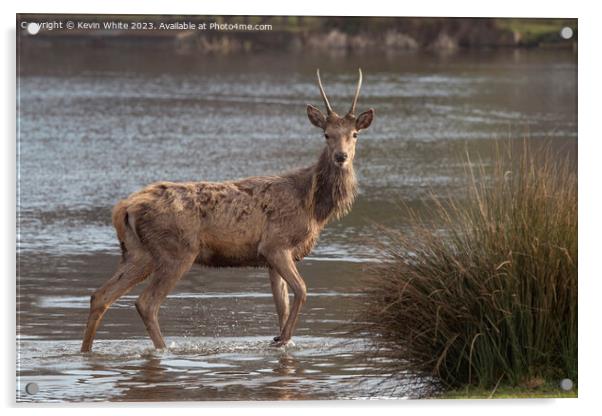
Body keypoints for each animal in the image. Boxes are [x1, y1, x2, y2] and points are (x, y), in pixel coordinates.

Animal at [79, 68, 370, 352]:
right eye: (326, 134)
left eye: (354, 135)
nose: (341, 157)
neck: (312, 206)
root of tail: (124, 209)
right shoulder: (275, 244)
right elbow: (302, 290)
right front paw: (281, 339)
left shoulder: (272, 257)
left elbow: (282, 304)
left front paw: (281, 339)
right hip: (176, 250)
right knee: (146, 303)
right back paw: (165, 349)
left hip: (138, 253)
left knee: (100, 296)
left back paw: (86, 350)